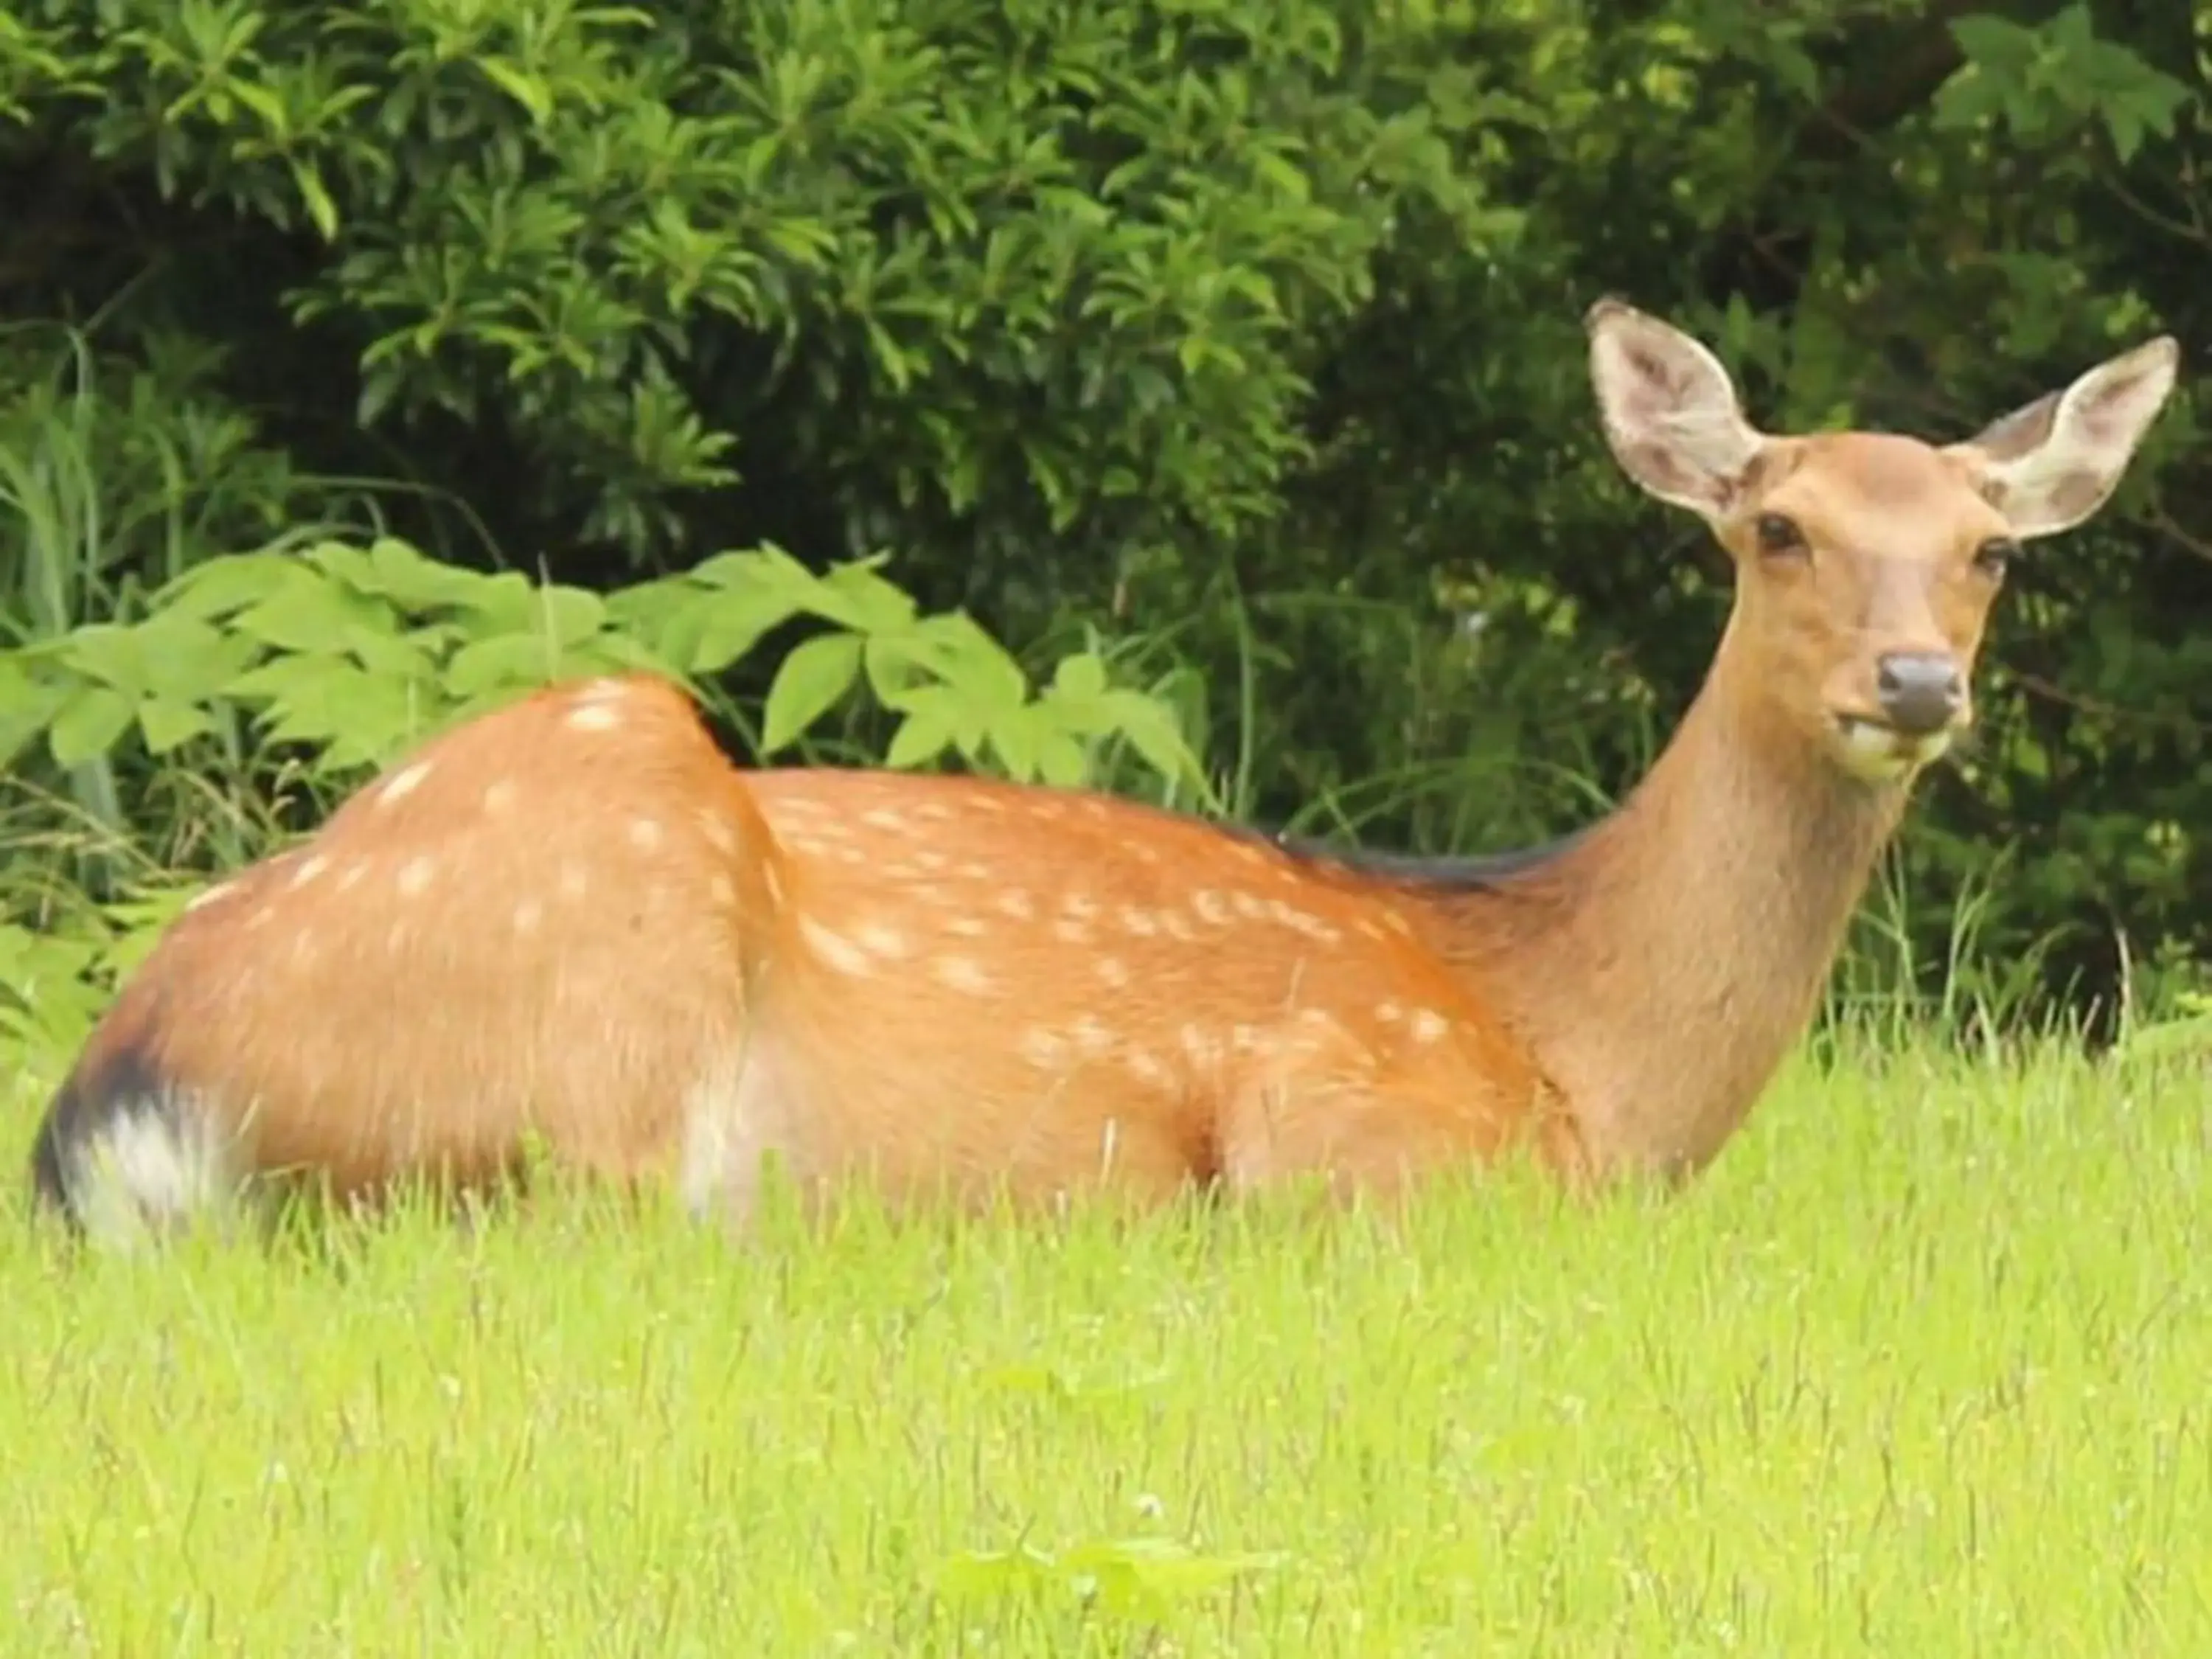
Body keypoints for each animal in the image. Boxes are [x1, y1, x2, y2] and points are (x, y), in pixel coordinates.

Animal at [30, 305, 2177, 1256]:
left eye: (1991, 550)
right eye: (1778, 527)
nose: (1915, 681)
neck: (1575, 1049)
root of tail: (123, 1092)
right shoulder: (1345, 1111)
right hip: (595, 921)